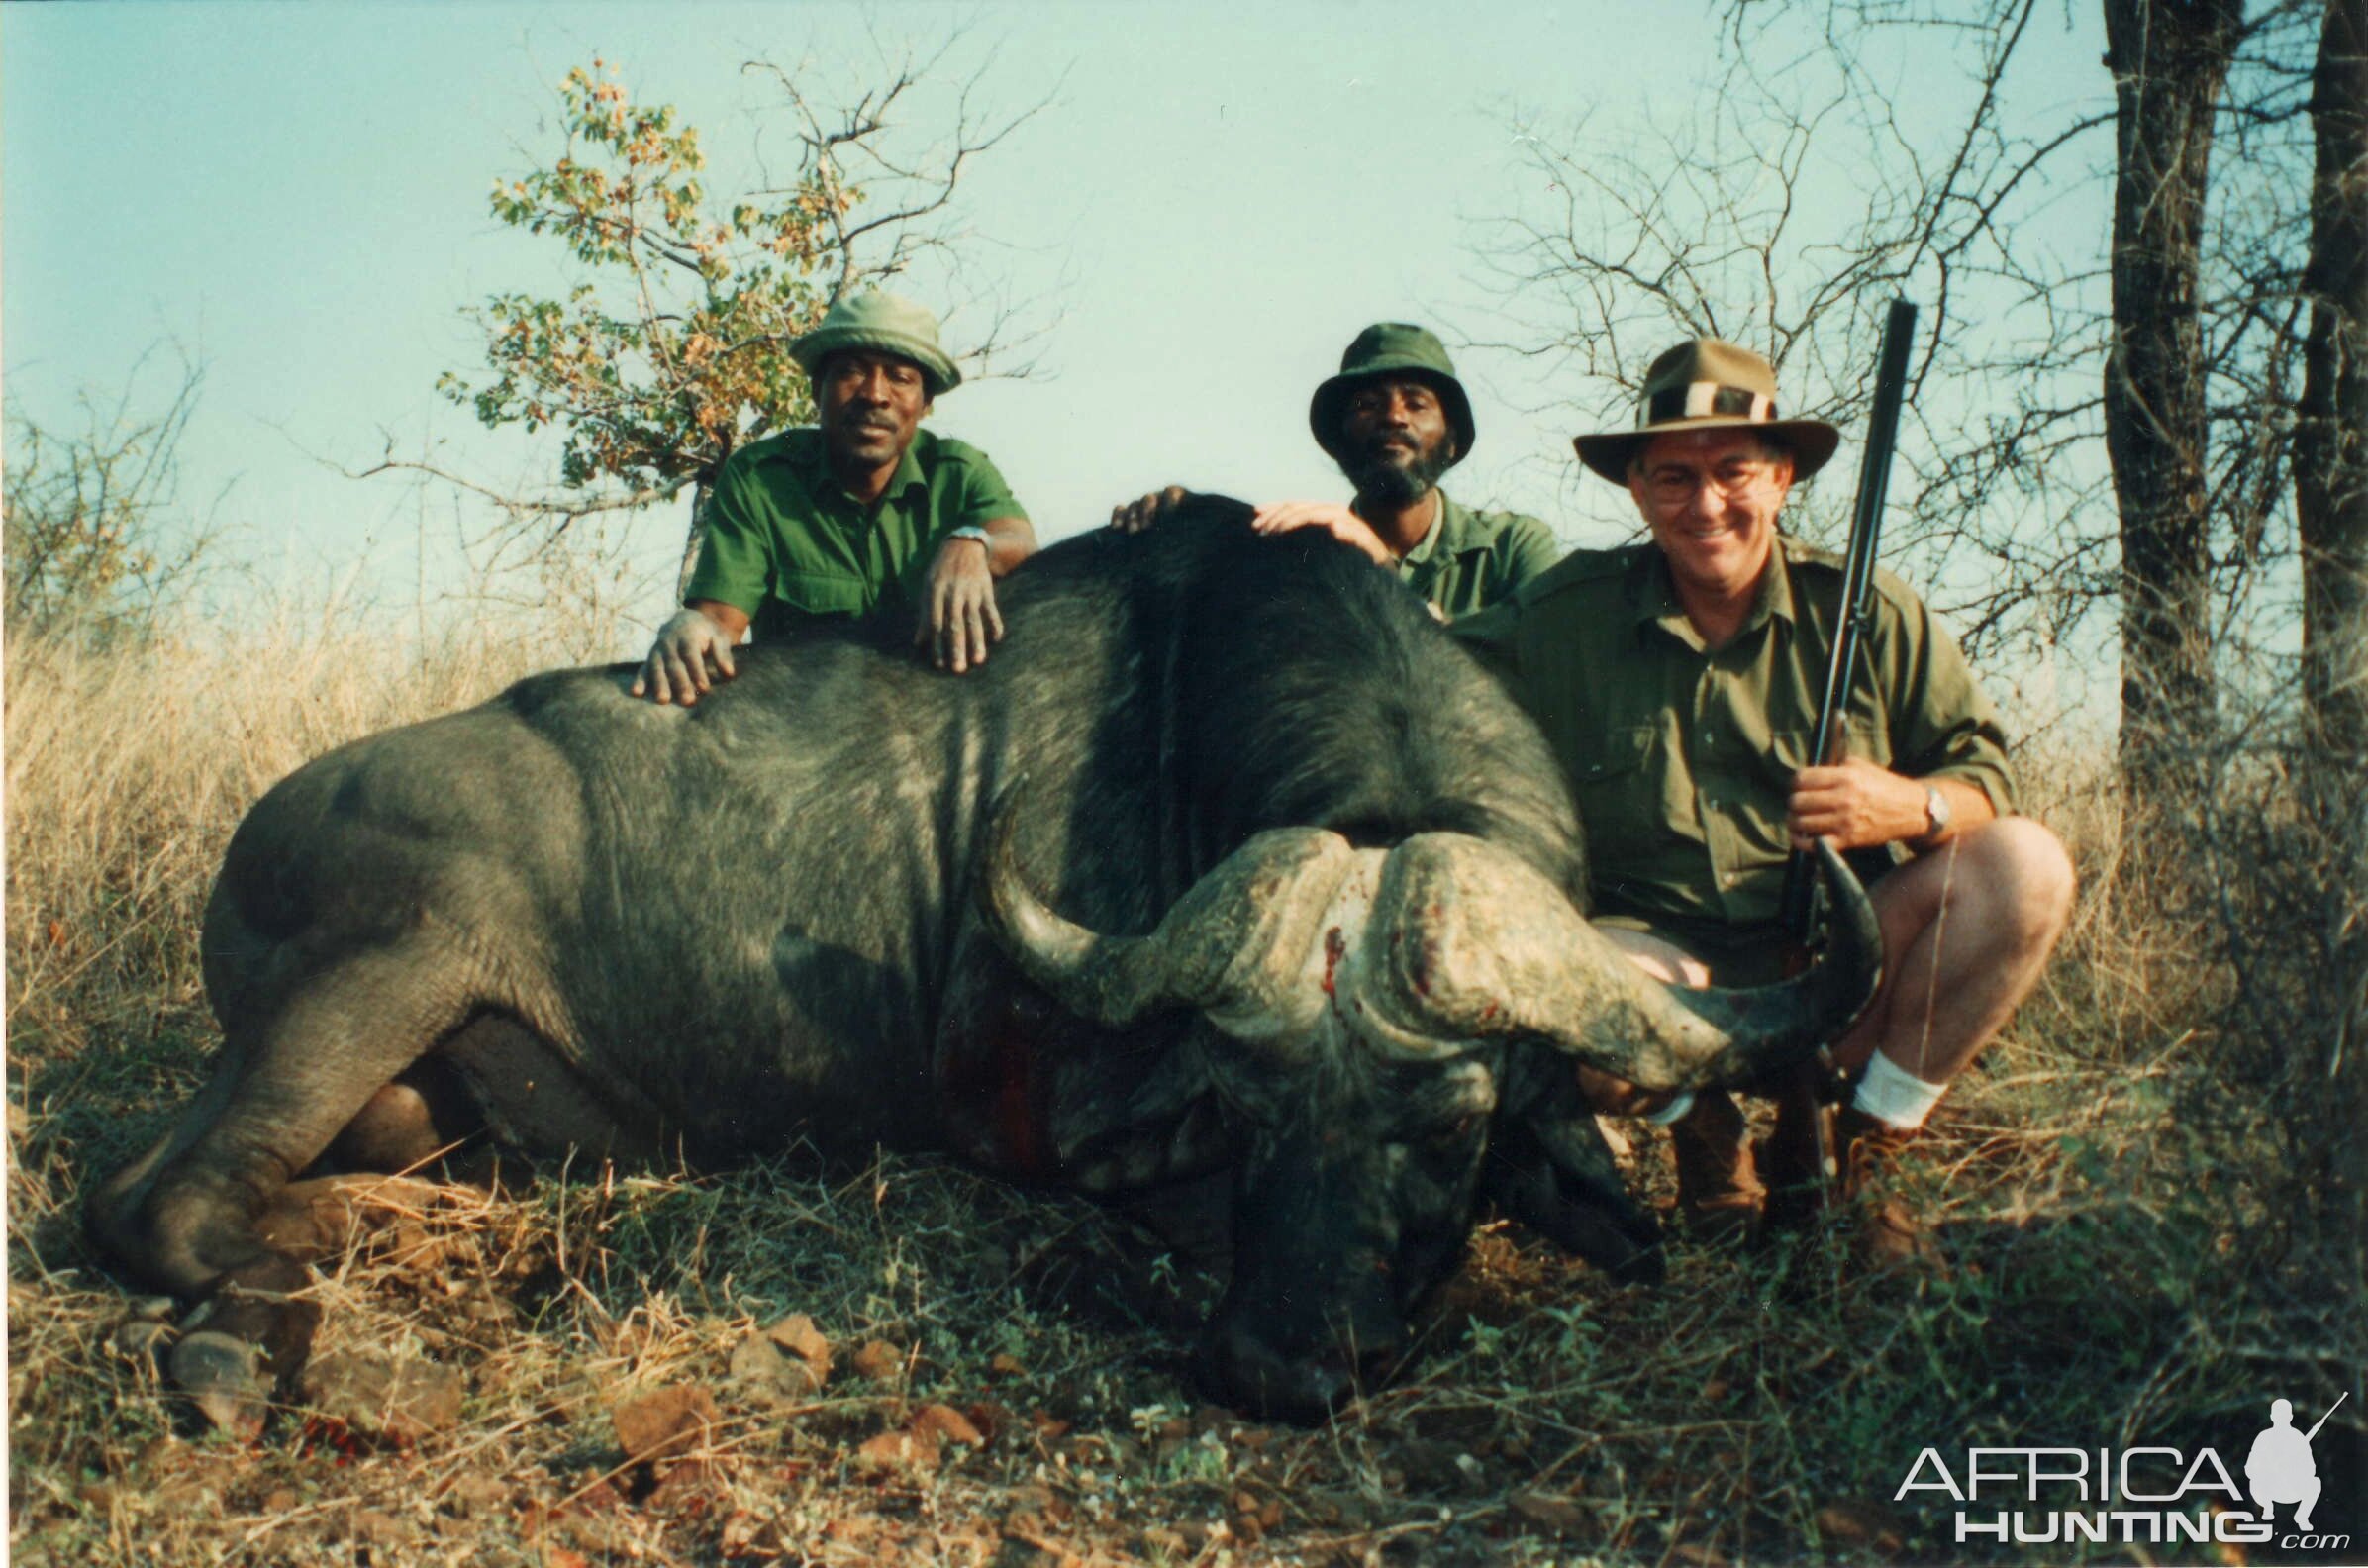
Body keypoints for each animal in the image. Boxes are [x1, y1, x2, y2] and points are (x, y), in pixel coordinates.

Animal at [92, 499, 1875, 1421]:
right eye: (1246, 1109)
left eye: (1447, 1123)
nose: (1274, 1362)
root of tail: (265, 825)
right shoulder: (1058, 1131)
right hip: (363, 987)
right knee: (158, 1205)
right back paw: (260, 1317)